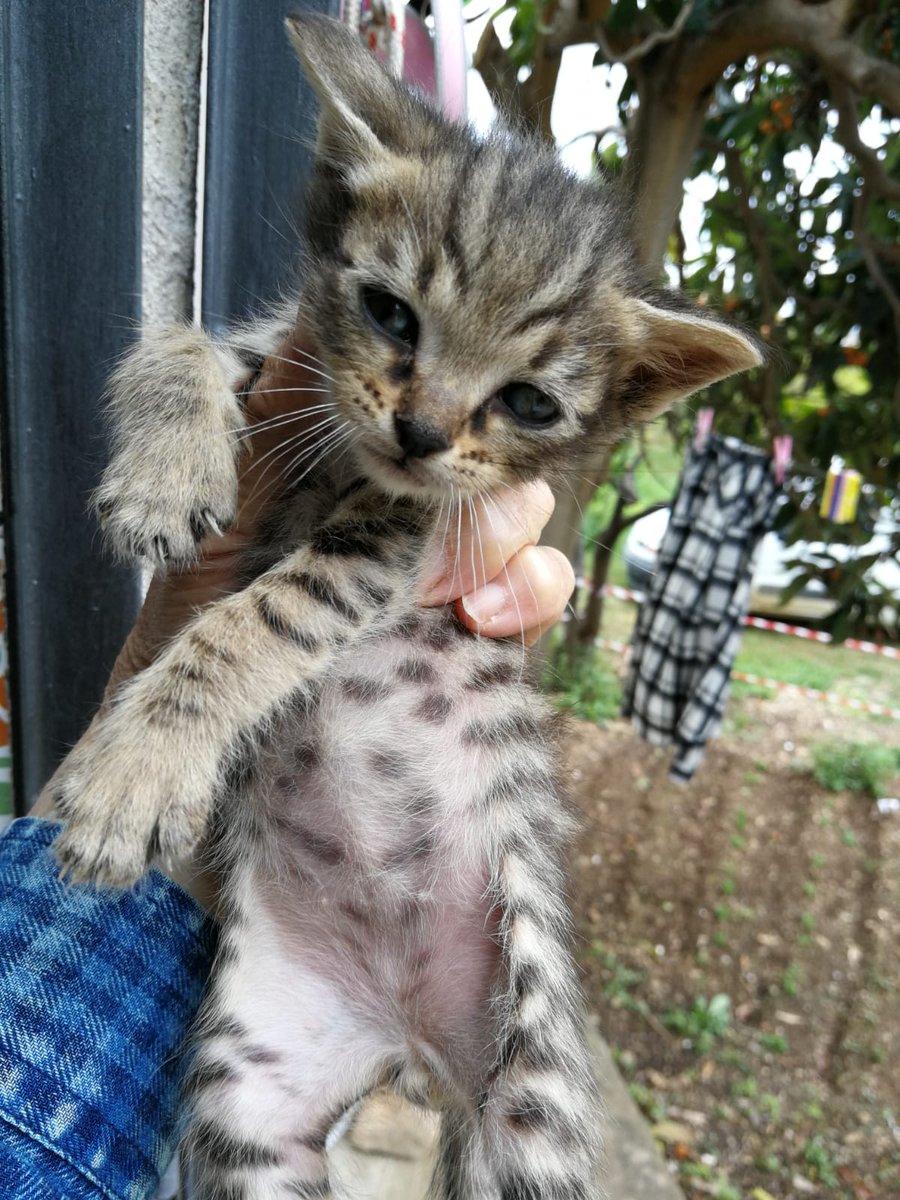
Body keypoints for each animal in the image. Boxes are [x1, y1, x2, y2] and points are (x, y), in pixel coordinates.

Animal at [52, 16, 763, 1200]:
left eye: (528, 402)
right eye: (391, 312)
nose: (422, 433)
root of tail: (409, 1050)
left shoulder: (401, 542)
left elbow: (252, 623)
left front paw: (134, 770)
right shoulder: (286, 371)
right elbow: (184, 343)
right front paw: (163, 469)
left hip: (532, 1108)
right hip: (250, 1099)